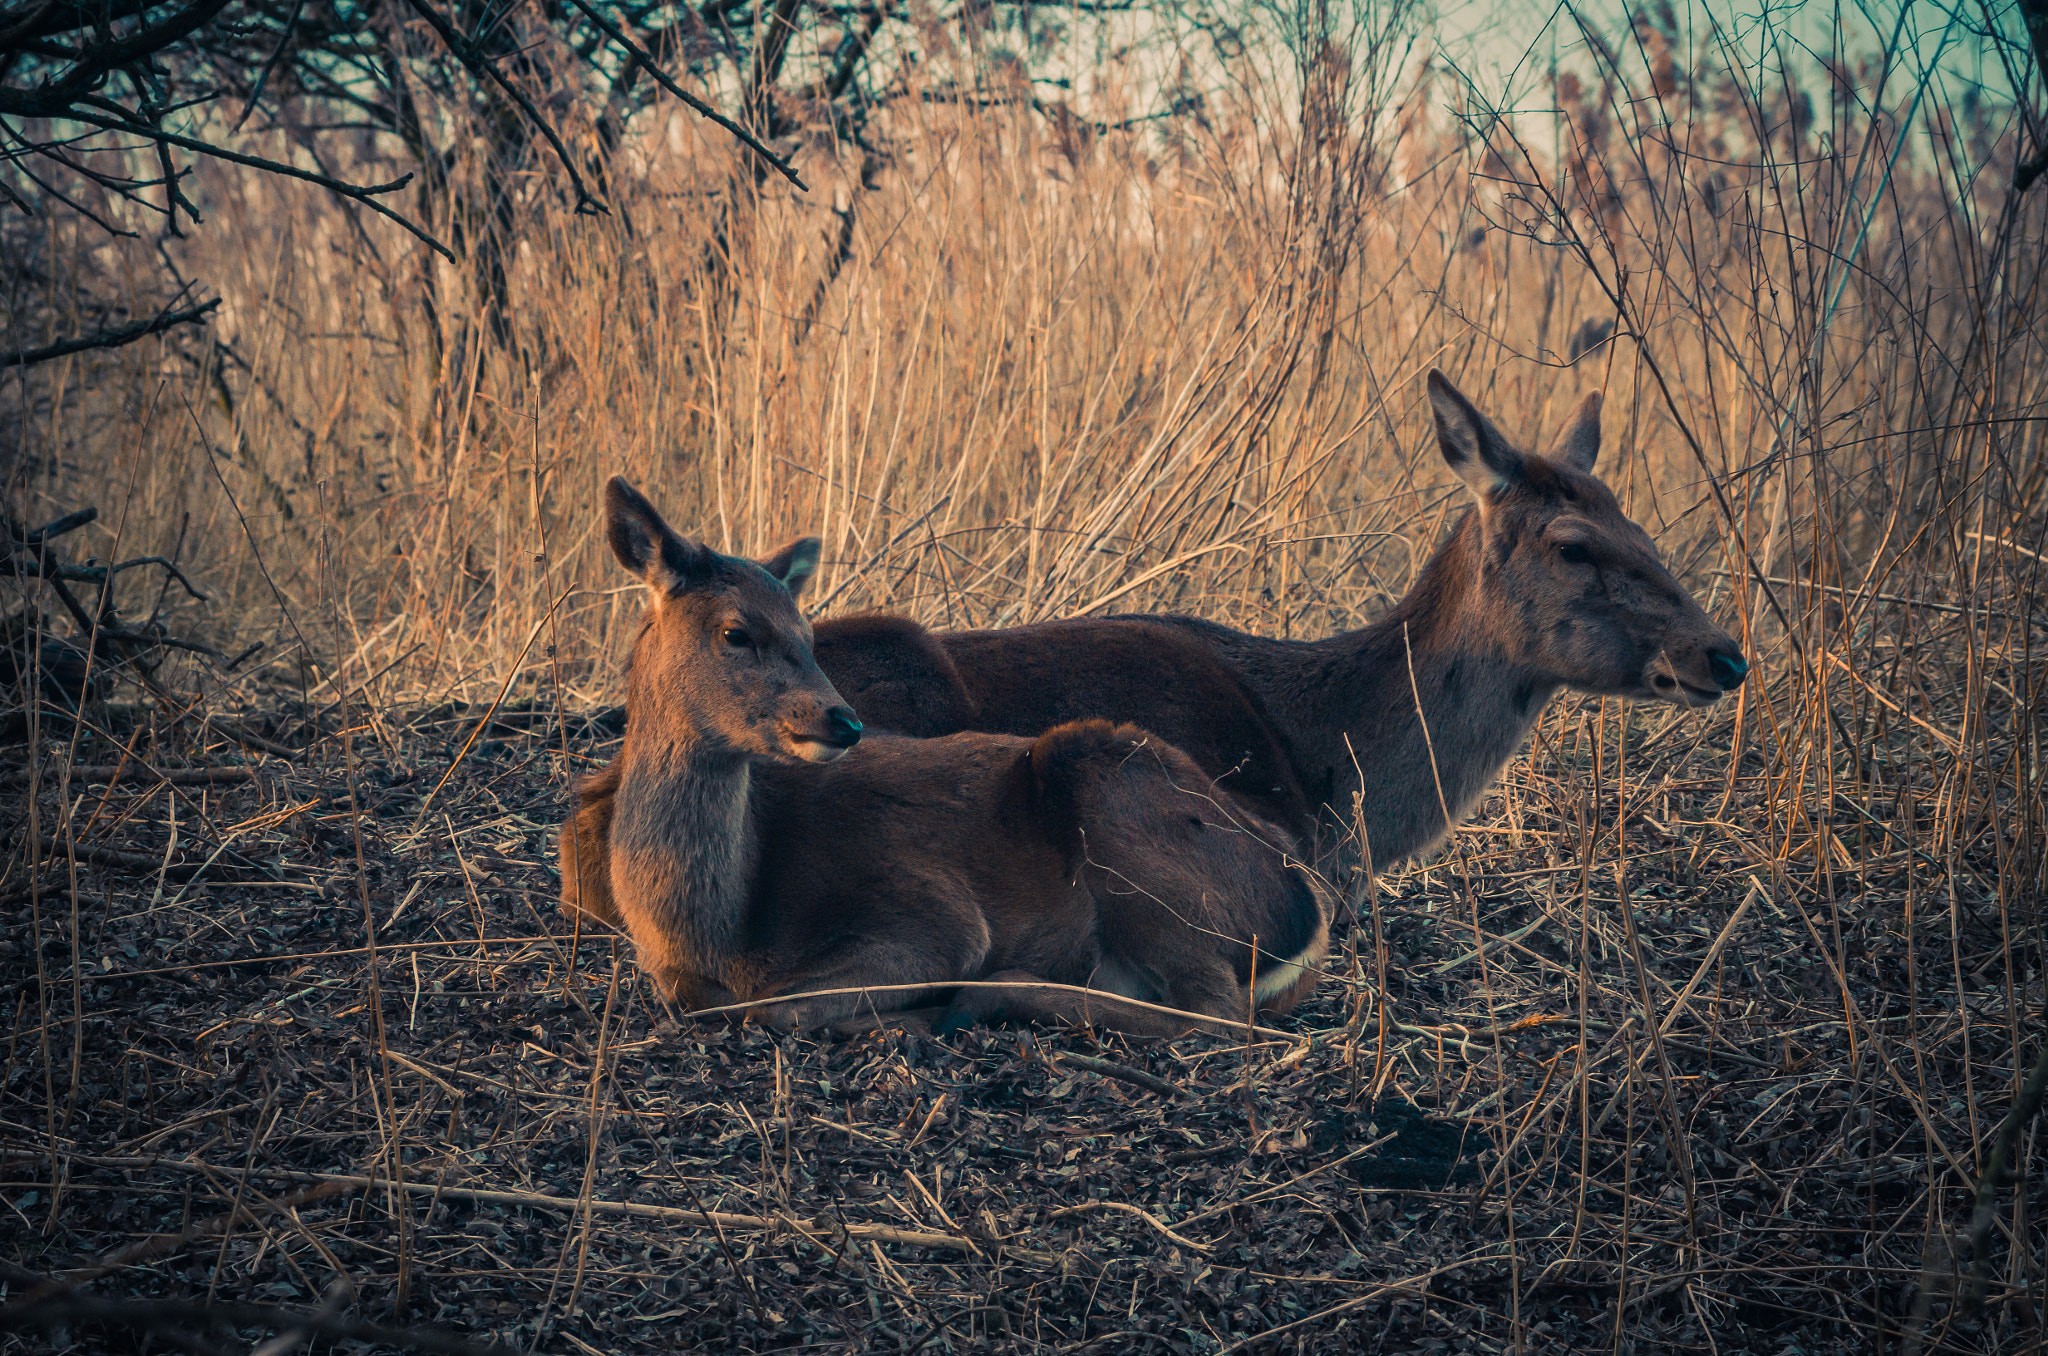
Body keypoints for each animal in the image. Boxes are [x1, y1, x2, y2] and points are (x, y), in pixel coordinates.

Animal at [569, 483, 1327, 1036]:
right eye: (736, 631)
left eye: (809, 634)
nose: (843, 719)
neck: (719, 929)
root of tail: (1305, 907)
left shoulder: (928, 908)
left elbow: (774, 1006)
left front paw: (915, 1011)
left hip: (1116, 805)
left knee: (1216, 1014)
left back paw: (988, 995)